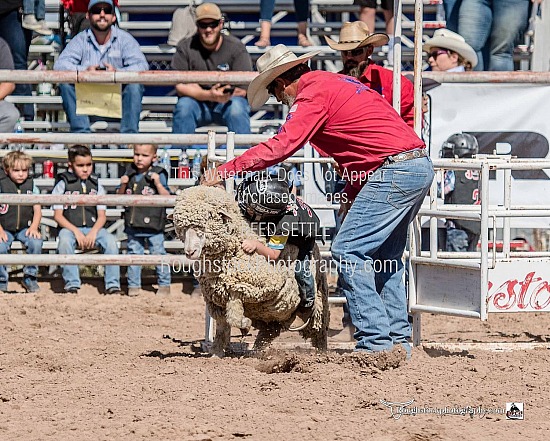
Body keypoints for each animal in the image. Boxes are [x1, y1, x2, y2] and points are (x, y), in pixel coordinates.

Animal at [172, 184, 330, 356]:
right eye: (181, 227)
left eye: (205, 222)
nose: (190, 252)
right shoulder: (216, 299)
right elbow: (222, 326)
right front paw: (216, 352)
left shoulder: (255, 288)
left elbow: (233, 317)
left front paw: (245, 324)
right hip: (273, 316)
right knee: (270, 332)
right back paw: (256, 351)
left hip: (319, 299)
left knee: (320, 332)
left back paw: (322, 354)